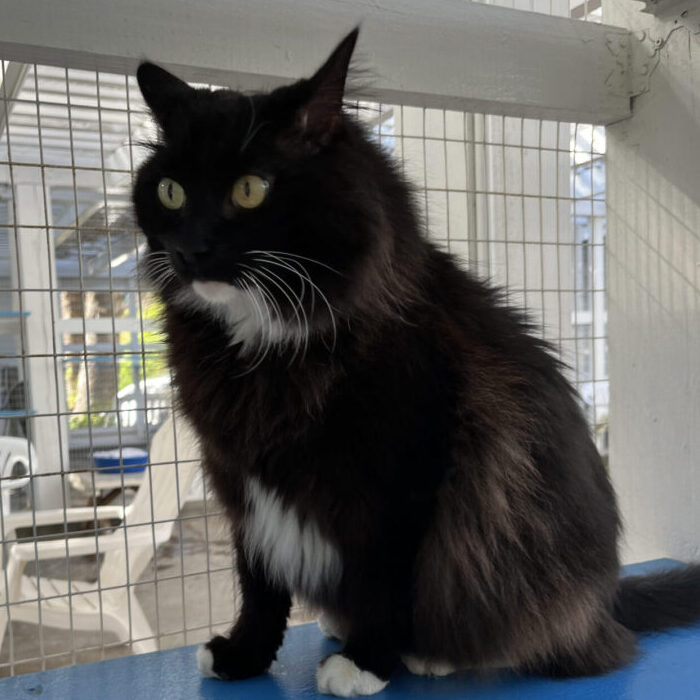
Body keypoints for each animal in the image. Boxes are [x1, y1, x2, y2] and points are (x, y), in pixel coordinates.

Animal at [134, 27, 700, 700]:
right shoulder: (240, 475)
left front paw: (368, 660)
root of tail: (605, 601)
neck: (260, 343)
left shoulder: (405, 474)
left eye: (250, 190)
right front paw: (244, 654)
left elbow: (384, 579)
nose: (190, 250)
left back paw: (426, 653)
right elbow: (260, 583)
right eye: (170, 192)